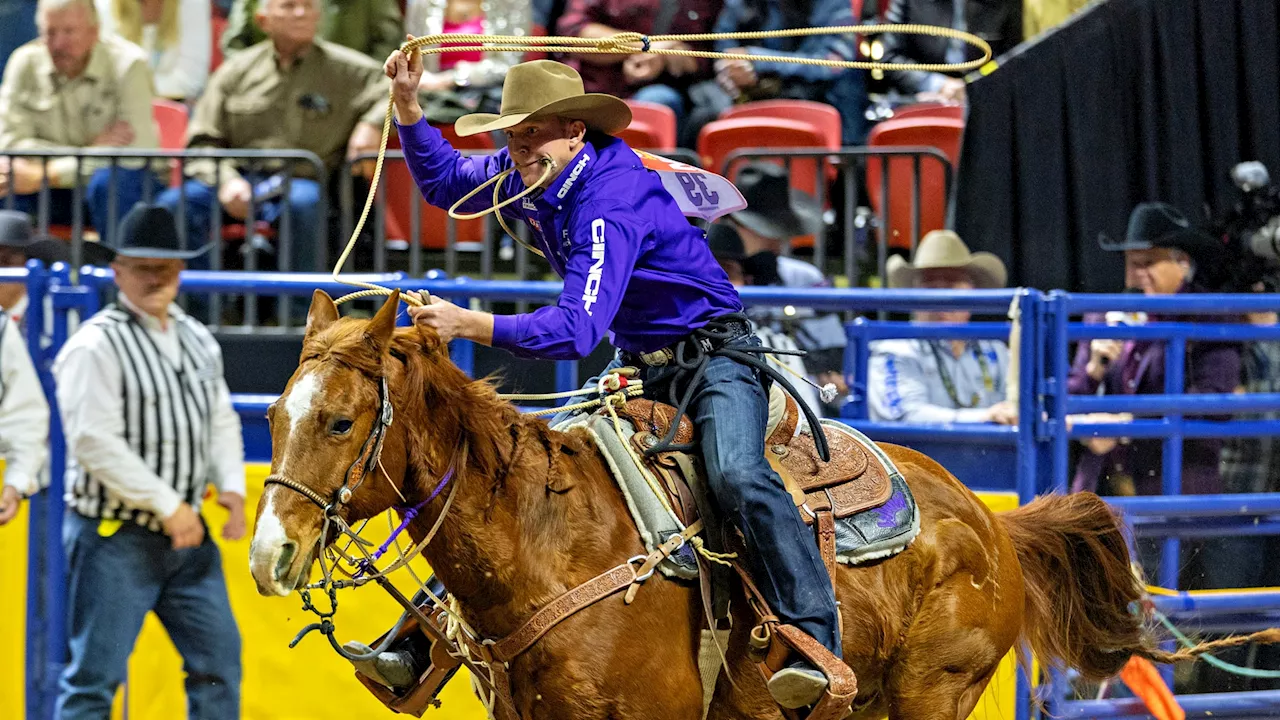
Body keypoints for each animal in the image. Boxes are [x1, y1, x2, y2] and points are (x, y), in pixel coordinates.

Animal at [252, 292, 1187, 717]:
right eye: (270, 416)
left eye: (339, 421)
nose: (268, 556)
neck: (547, 544)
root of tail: (992, 518)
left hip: (935, 692)